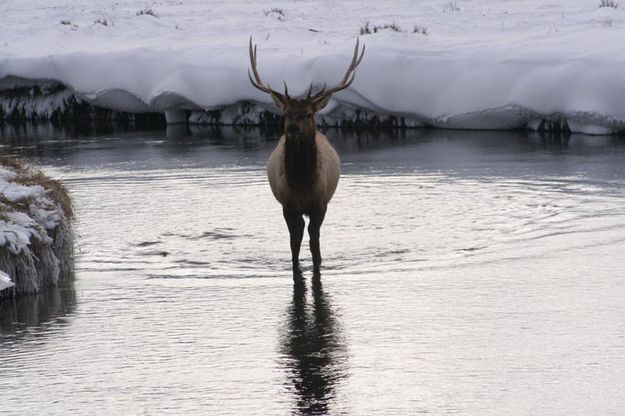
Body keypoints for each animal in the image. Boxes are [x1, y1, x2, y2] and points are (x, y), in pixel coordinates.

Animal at [249, 36, 366, 276]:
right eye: (286, 112)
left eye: (308, 113)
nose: (292, 128)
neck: (302, 184)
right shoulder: (287, 205)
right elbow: (294, 242)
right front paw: (295, 266)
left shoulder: (320, 204)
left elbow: (315, 243)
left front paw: (318, 263)